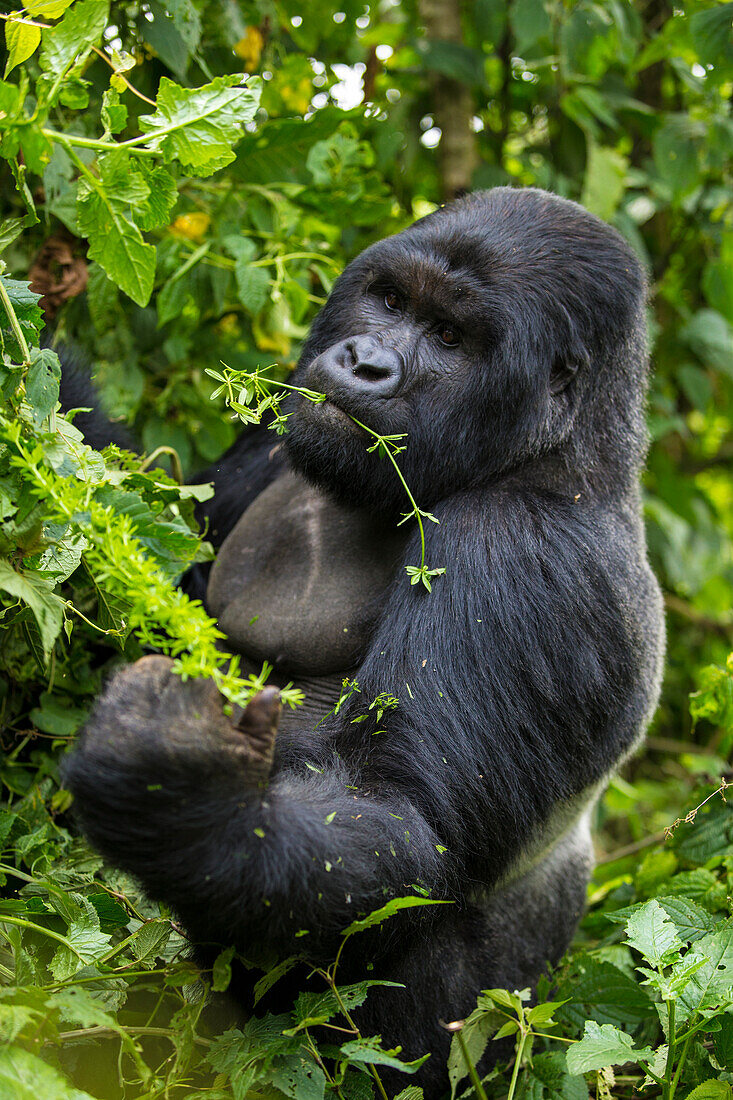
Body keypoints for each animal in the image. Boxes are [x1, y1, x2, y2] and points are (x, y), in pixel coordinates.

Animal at [65, 184, 664, 1095]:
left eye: (450, 337)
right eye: (388, 299)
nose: (366, 363)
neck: (559, 451)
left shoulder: (520, 556)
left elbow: (401, 829)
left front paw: (178, 797)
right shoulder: (280, 435)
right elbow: (152, 557)